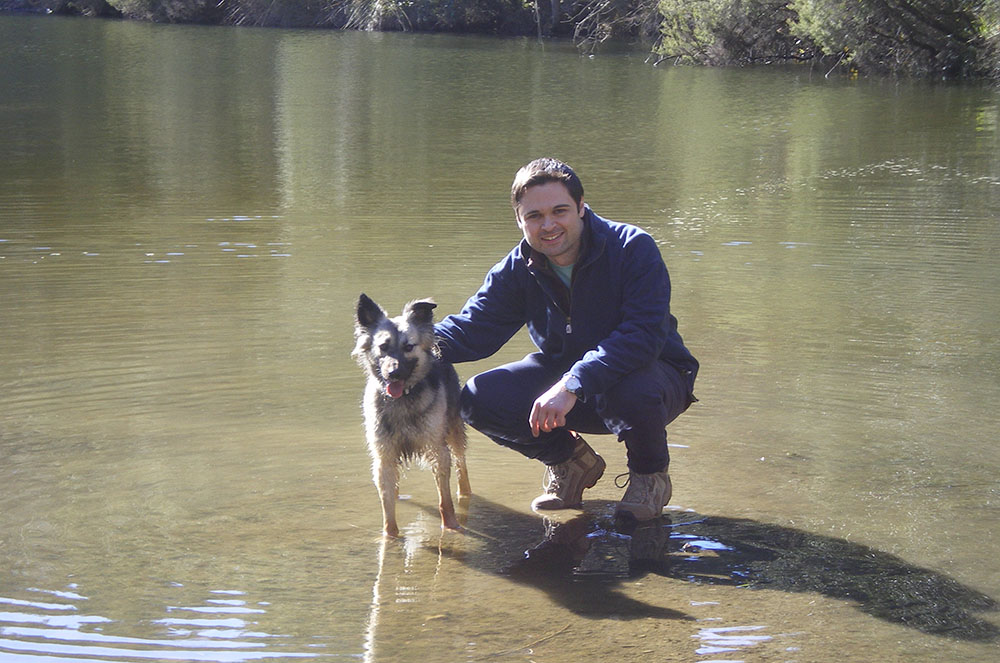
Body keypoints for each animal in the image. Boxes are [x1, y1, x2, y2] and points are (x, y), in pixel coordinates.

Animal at [352, 293, 471, 537]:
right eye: (383, 347)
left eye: (408, 346)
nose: (394, 373)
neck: (402, 400)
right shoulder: (384, 455)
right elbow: (387, 505)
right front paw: (390, 536)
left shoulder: (437, 449)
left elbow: (444, 499)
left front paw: (451, 526)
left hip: (454, 431)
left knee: (461, 464)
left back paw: (464, 493)